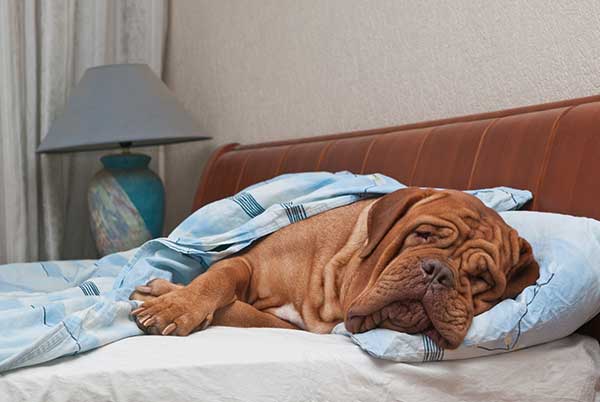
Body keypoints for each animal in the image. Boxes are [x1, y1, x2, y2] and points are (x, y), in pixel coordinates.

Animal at [131, 188, 540, 348]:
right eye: (423, 234)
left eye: (481, 277)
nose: (439, 272)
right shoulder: (247, 261)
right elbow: (218, 277)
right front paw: (176, 304)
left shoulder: (290, 326)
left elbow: (238, 310)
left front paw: (166, 297)